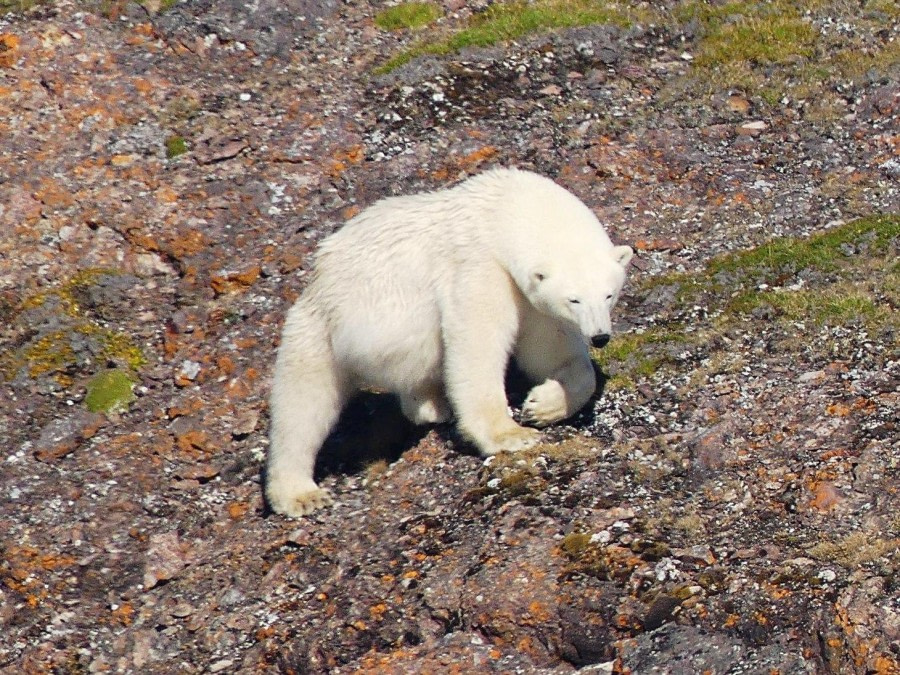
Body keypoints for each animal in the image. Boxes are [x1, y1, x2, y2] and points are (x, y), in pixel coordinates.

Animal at [268, 169, 632, 516]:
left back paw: (432, 404)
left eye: (608, 294)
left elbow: (554, 352)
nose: (600, 336)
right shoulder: (479, 266)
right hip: (319, 327)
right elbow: (477, 346)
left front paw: (542, 405)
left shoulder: (532, 301)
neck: (500, 210)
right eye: (574, 299)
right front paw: (513, 435)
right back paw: (299, 494)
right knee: (303, 405)